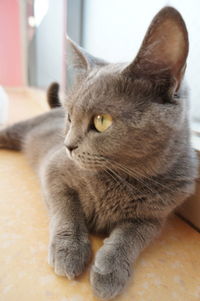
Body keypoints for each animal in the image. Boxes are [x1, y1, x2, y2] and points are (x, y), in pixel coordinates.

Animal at [0, 6, 197, 298]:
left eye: (101, 121)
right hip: (20, 130)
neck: (122, 178)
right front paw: (69, 251)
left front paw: (110, 271)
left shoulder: (154, 217)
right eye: (70, 117)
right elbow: (67, 210)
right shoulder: (54, 170)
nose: (68, 145)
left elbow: (130, 239)